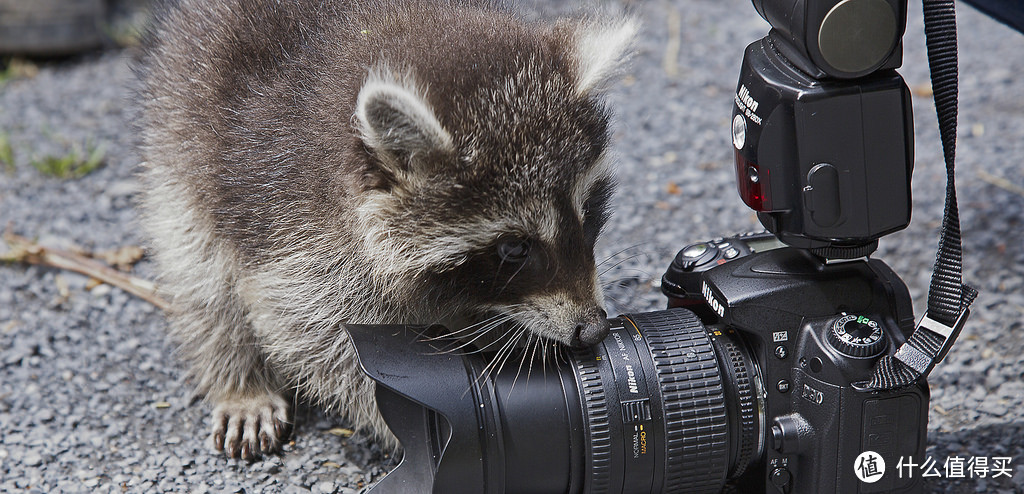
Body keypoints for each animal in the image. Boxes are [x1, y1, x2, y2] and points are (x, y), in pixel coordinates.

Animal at [136, 0, 630, 459]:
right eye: (514, 249)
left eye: (587, 211)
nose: (593, 329)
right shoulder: (292, 221)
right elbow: (316, 336)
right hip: (183, 138)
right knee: (200, 271)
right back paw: (239, 379)